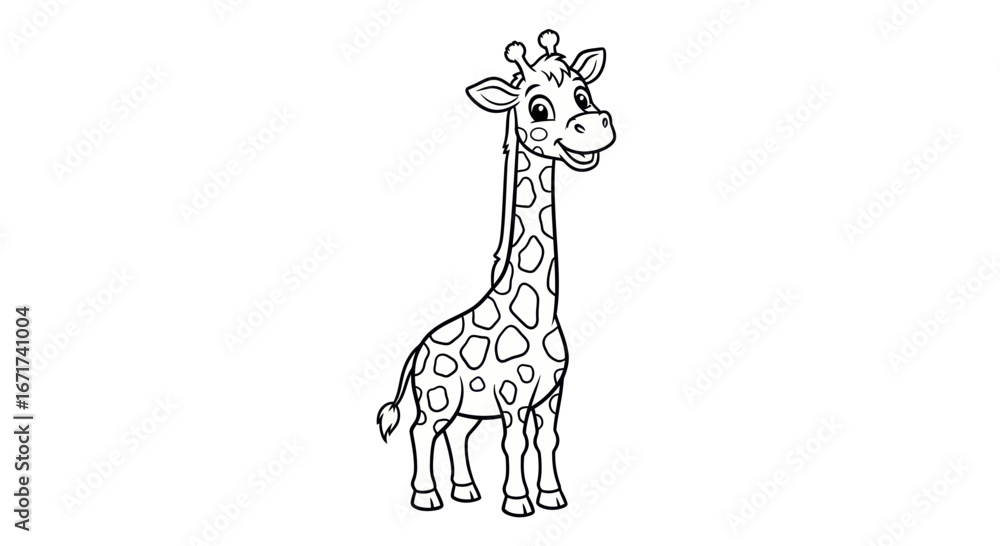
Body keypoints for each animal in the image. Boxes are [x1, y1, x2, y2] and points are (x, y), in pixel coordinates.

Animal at [377, 29, 616, 517]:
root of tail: (417, 350)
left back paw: (466, 492)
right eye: (538, 108)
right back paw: (427, 497)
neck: (539, 312)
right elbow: (514, 443)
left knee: (457, 435)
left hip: (467, 406)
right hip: (438, 397)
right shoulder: (511, 395)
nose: (596, 126)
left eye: (583, 94)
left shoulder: (551, 394)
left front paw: (553, 497)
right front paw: (518, 502)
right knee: (421, 431)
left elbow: (548, 439)